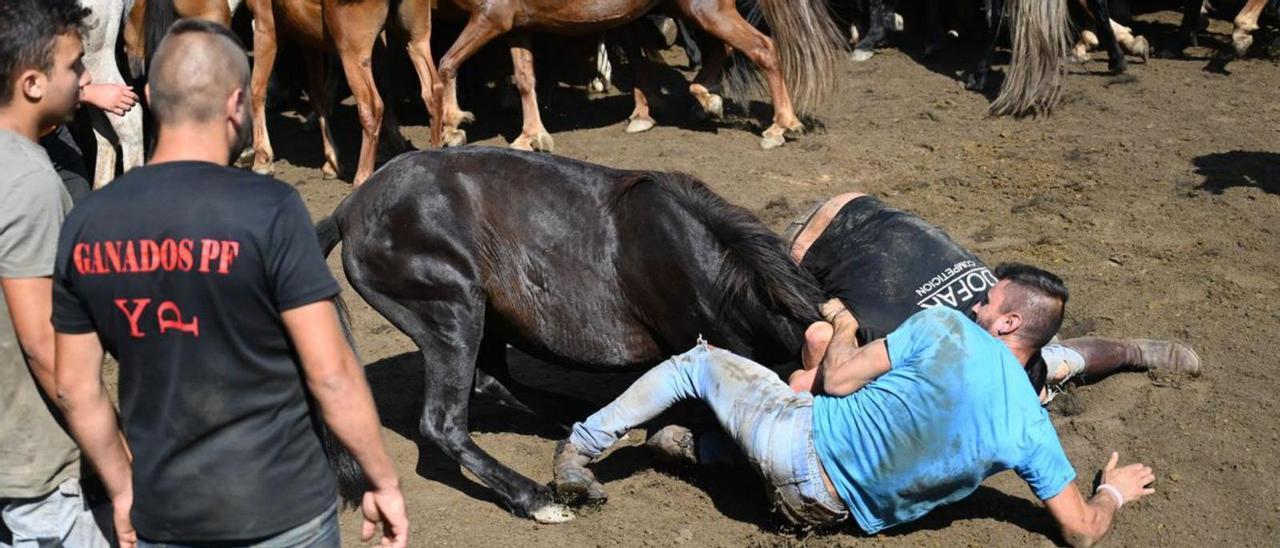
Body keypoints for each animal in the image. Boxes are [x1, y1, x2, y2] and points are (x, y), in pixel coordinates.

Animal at [314, 147, 824, 524]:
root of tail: (348, 210)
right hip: (454, 312)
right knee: (443, 423)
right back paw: (536, 498)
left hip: (486, 316)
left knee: (493, 382)